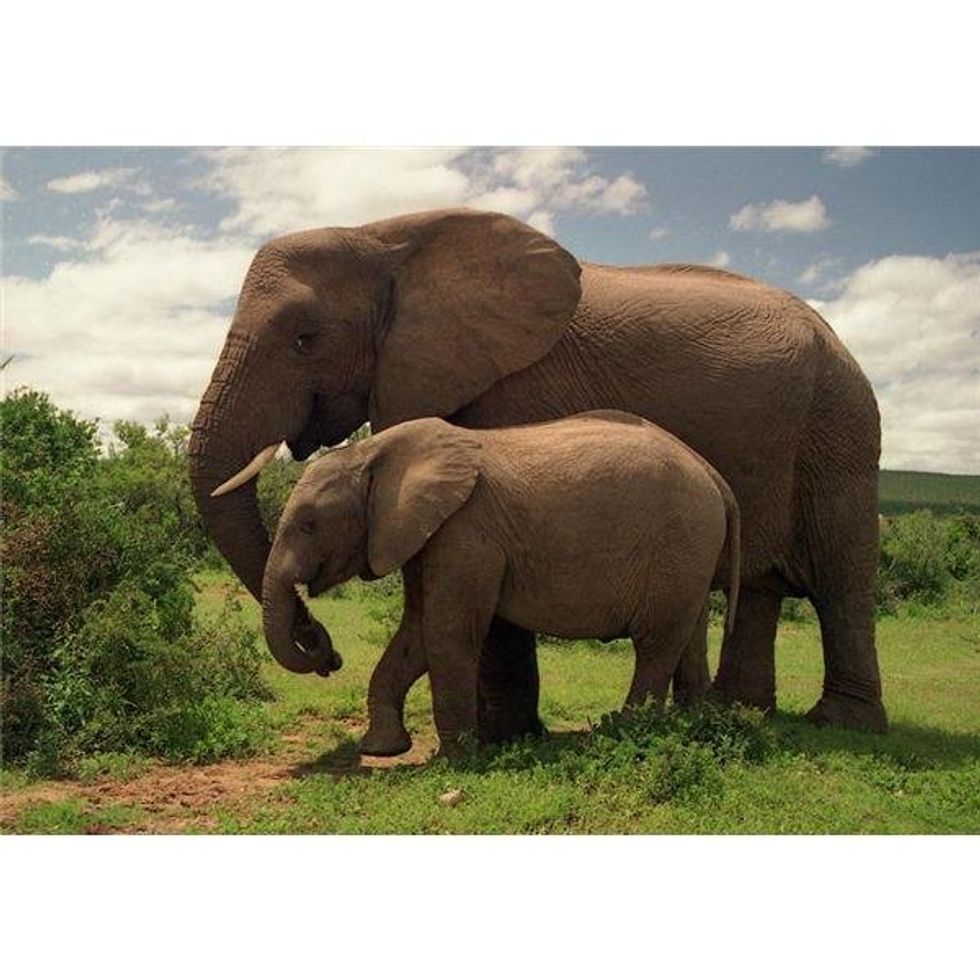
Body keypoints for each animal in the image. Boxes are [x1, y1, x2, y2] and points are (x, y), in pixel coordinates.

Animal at [261, 412, 742, 754]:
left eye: (308, 524)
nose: (331, 657)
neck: (372, 451)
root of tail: (716, 477)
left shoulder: (466, 534)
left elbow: (447, 632)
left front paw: (457, 760)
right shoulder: (422, 534)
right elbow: (416, 632)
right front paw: (382, 750)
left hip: (678, 542)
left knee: (655, 642)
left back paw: (624, 732)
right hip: (691, 553)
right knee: (690, 636)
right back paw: (693, 725)